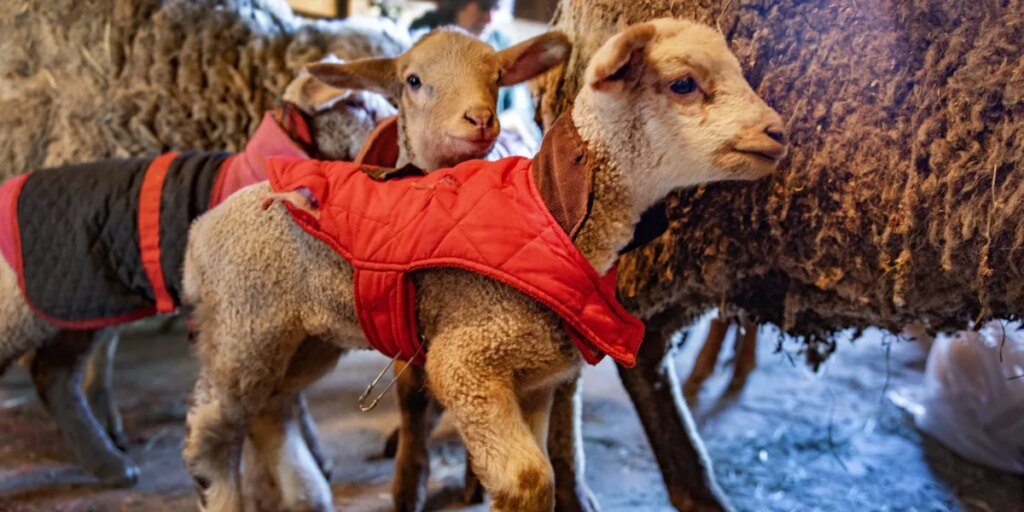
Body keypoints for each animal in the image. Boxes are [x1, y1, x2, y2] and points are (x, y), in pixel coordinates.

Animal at [180, 17, 786, 512]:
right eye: (683, 84)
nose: (778, 133)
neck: (554, 213)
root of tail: (201, 229)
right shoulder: (467, 362)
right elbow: (529, 481)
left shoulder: (535, 379)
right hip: (243, 327)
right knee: (211, 436)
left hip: (304, 338)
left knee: (271, 408)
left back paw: (306, 494)